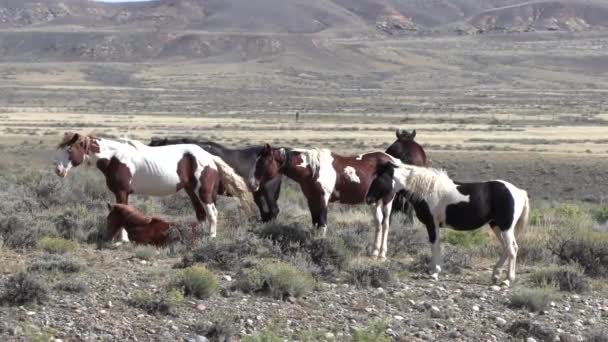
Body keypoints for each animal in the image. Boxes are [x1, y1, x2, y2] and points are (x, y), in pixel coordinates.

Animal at [52, 132, 252, 239]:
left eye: (69, 149)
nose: (59, 170)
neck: (115, 157)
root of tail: (209, 157)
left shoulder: (122, 192)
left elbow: (122, 212)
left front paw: (122, 240)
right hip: (191, 191)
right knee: (202, 214)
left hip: (203, 191)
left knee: (212, 213)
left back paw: (211, 237)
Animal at [148, 136, 282, 222]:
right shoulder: (192, 193)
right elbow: (200, 214)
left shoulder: (210, 192)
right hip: (258, 193)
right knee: (265, 212)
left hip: (269, 191)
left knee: (273, 210)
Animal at [249, 144, 396, 260]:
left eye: (263, 162)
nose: (253, 185)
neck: (313, 170)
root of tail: (391, 160)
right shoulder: (312, 200)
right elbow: (315, 224)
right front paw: (312, 245)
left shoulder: (323, 200)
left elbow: (322, 224)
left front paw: (321, 247)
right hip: (375, 202)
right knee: (378, 224)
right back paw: (374, 253)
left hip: (387, 200)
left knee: (386, 224)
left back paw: (382, 254)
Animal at [366, 162, 528, 286]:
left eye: (380, 179)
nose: (368, 199)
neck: (427, 190)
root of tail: (520, 192)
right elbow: (435, 245)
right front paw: (433, 271)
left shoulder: (432, 224)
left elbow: (434, 245)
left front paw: (434, 273)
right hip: (496, 226)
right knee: (508, 248)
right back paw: (495, 275)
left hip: (506, 227)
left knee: (512, 249)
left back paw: (507, 281)